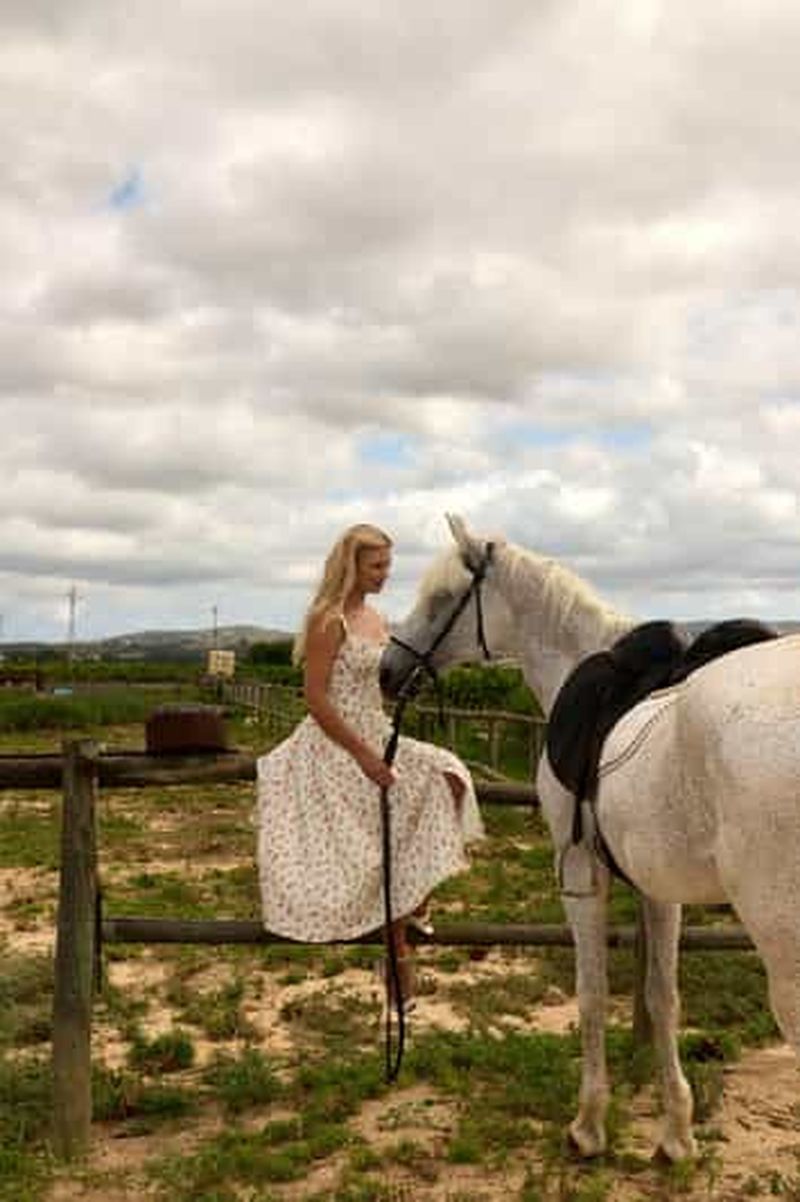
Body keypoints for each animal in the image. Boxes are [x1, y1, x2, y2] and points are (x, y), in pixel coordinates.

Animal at [379, 514, 800, 1162]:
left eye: (443, 597)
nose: (387, 671)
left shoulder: (581, 873)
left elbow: (594, 993)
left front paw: (588, 1126)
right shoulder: (658, 887)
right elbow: (662, 997)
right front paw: (676, 1133)